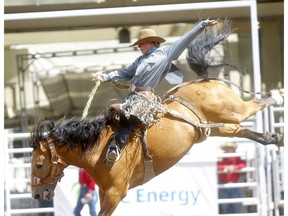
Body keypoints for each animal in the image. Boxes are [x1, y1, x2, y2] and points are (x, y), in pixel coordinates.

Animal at [28, 19, 284, 214]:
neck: (97, 148)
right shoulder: (103, 192)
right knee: (242, 130)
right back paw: (275, 138)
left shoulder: (115, 193)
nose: (37, 194)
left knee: (255, 105)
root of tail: (202, 79)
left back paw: (279, 96)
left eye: (39, 164)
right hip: (215, 127)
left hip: (232, 110)